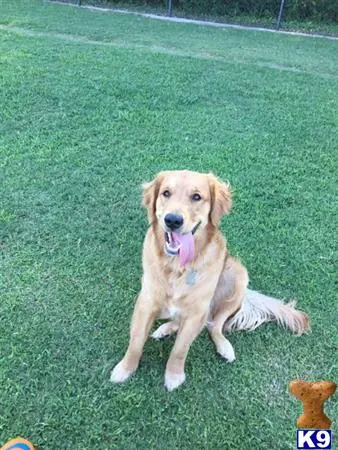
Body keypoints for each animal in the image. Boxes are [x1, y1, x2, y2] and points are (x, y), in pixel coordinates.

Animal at [110, 170, 308, 390]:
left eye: (197, 197)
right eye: (166, 193)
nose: (173, 220)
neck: (178, 267)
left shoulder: (196, 312)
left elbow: (180, 349)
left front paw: (174, 376)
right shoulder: (145, 303)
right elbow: (135, 342)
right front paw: (125, 369)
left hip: (237, 276)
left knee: (214, 325)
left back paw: (223, 346)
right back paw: (164, 329)